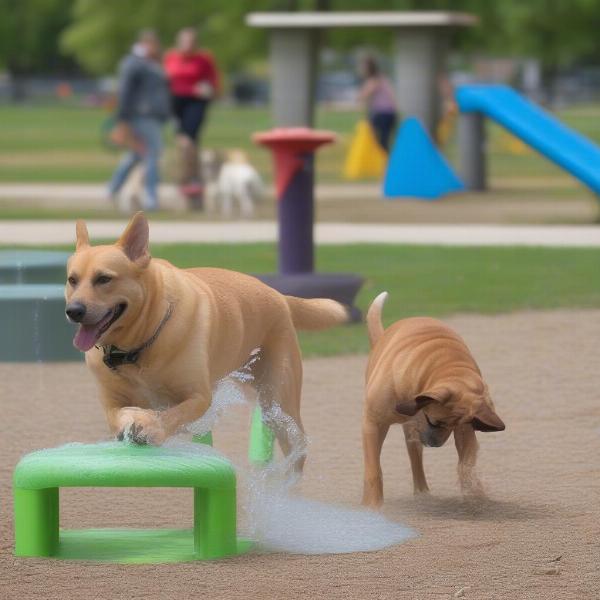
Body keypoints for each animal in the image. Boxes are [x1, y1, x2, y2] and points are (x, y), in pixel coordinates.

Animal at [360, 292, 506, 508]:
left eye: (452, 425)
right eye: (435, 421)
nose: (433, 443)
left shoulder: (464, 429)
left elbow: (466, 464)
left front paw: (474, 494)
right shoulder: (373, 423)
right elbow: (373, 470)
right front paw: (372, 506)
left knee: (415, 456)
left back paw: (423, 492)